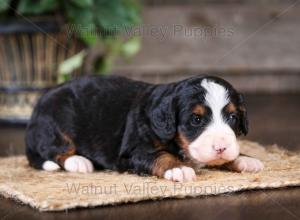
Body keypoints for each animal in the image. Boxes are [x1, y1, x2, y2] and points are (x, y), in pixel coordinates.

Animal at [27, 75, 264, 182]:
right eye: (196, 120)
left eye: (232, 117)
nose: (221, 147)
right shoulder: (133, 152)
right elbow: (160, 156)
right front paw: (178, 168)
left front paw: (245, 159)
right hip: (55, 124)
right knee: (56, 150)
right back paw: (79, 162)